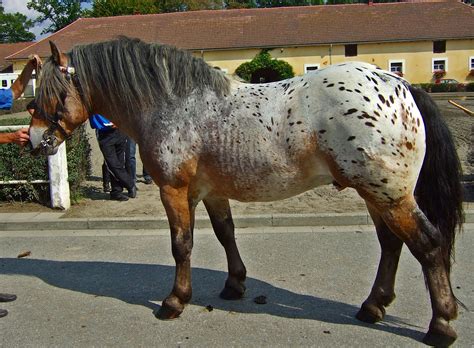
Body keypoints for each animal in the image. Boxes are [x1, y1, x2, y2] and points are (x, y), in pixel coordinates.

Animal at [28, 36, 462, 346]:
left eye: (53, 94)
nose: (35, 141)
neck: (172, 104)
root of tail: (400, 85)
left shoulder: (174, 189)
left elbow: (181, 244)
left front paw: (174, 301)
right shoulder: (211, 191)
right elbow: (225, 234)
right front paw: (234, 284)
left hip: (388, 194)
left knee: (427, 245)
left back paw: (440, 325)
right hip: (377, 194)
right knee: (391, 244)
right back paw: (373, 306)